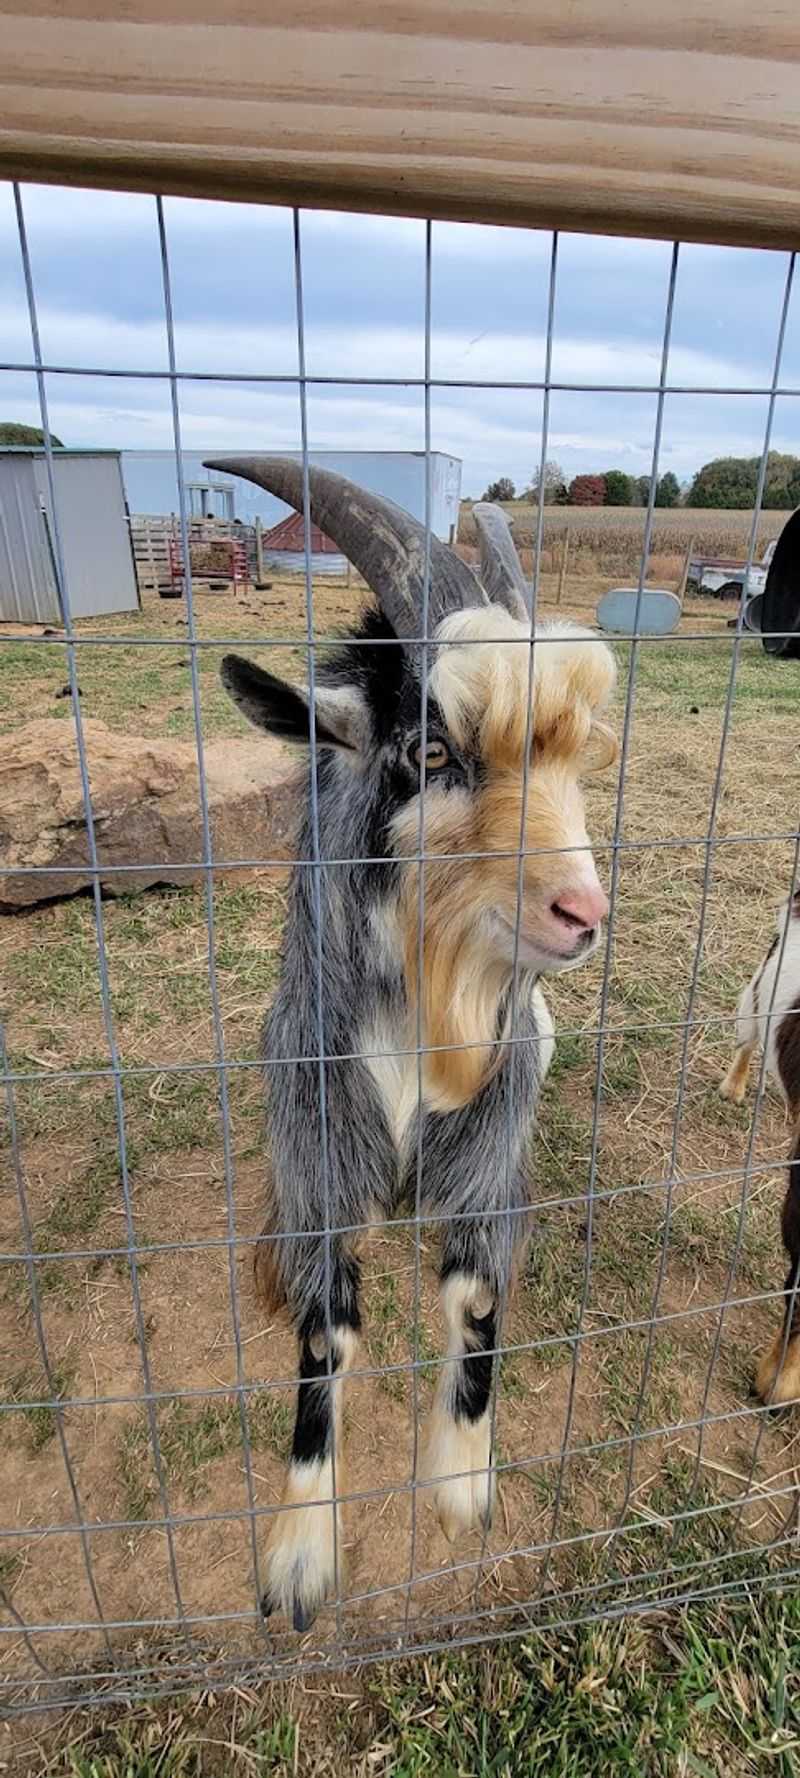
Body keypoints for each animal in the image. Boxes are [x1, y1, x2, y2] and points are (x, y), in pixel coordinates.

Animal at [209, 455, 618, 1631]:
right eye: (429, 749)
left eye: (573, 755)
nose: (582, 913)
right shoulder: (318, 1137)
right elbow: (324, 1329)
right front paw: (300, 1554)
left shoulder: (490, 1136)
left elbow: (473, 1294)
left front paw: (458, 1482)